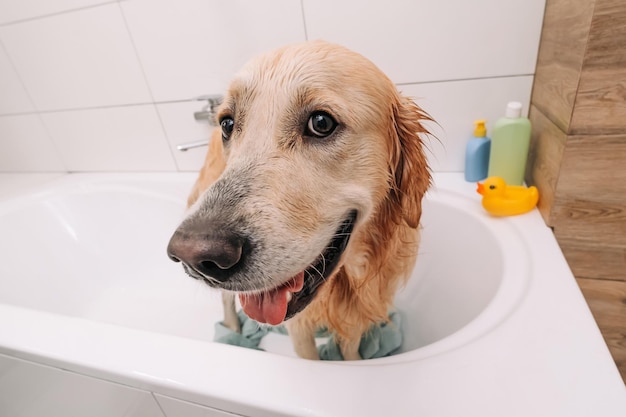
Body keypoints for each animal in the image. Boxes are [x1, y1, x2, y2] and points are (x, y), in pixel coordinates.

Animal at [166, 39, 428, 358]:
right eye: (229, 124)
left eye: (321, 123)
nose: (191, 256)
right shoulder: (299, 329)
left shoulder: (355, 317)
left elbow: (351, 350)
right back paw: (233, 329)